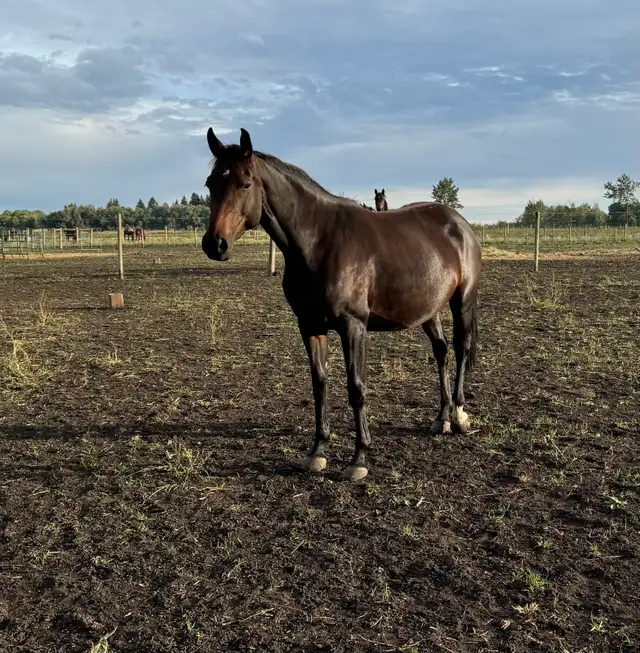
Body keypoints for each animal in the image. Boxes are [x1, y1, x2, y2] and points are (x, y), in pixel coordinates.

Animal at [201, 127, 483, 481]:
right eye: (210, 183)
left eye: (245, 183)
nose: (214, 244)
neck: (319, 241)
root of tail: (459, 222)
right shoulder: (309, 324)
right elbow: (319, 384)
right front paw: (317, 452)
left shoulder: (352, 326)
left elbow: (355, 387)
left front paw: (359, 458)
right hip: (429, 310)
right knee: (441, 351)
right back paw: (441, 418)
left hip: (463, 300)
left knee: (461, 348)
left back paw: (458, 415)